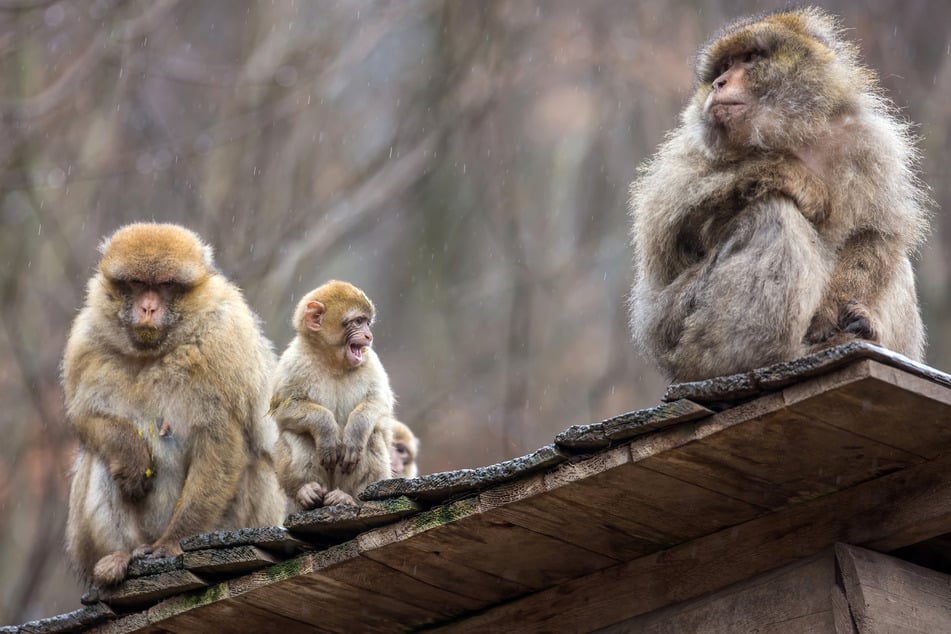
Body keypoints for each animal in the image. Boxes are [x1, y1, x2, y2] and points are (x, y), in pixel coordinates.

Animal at [63, 223, 285, 588]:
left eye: (166, 285)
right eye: (138, 283)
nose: (148, 308)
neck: (154, 352)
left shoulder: (224, 340)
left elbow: (222, 439)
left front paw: (172, 544)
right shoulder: (86, 339)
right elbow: (85, 417)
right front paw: (130, 453)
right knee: (100, 459)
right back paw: (119, 556)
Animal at [271, 280, 395, 510]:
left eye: (367, 323)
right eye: (358, 321)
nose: (369, 336)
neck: (333, 362)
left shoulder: (371, 361)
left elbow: (379, 402)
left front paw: (355, 432)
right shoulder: (292, 361)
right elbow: (284, 408)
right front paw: (326, 428)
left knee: (372, 435)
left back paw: (348, 497)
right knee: (295, 433)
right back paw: (307, 492)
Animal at [628, 8, 929, 383]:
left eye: (749, 58)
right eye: (724, 65)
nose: (718, 83)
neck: (790, 131)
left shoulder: (870, 142)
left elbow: (877, 233)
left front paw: (834, 315)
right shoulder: (690, 146)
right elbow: (667, 228)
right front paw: (797, 177)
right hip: (676, 327)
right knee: (772, 214)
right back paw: (756, 359)